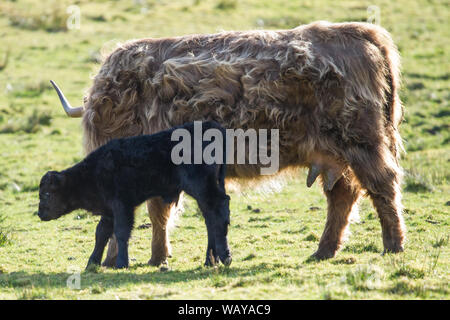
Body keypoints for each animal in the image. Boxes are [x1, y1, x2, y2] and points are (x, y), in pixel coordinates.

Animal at [37, 121, 232, 268]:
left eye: (46, 193)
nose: (40, 213)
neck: (91, 173)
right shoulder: (109, 210)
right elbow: (101, 233)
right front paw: (91, 263)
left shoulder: (122, 206)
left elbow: (121, 232)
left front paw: (121, 263)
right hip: (205, 192)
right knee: (210, 219)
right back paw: (210, 260)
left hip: (202, 188)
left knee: (218, 211)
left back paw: (225, 257)